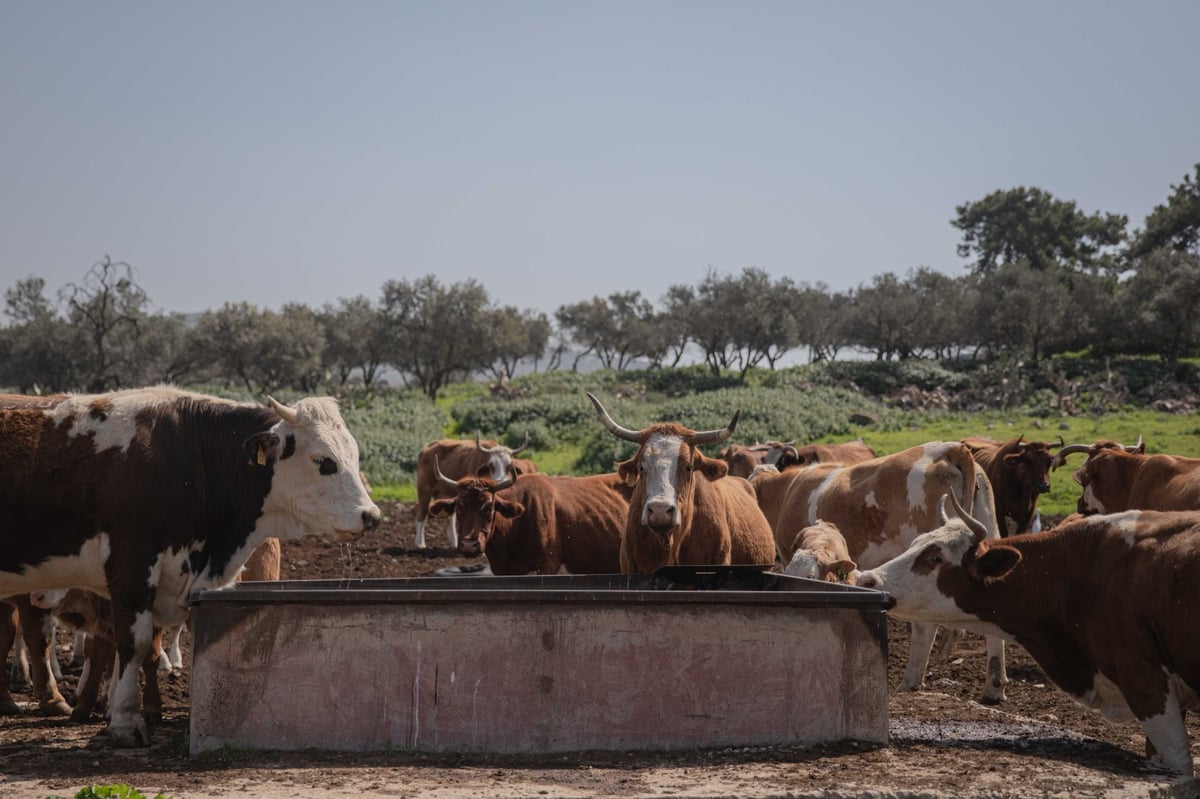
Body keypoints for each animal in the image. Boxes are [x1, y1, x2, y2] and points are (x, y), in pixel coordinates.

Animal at [0, 383, 379, 743]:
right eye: (323, 460)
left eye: (354, 456)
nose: (371, 516)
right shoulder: (133, 565)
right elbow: (133, 644)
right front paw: (125, 722)